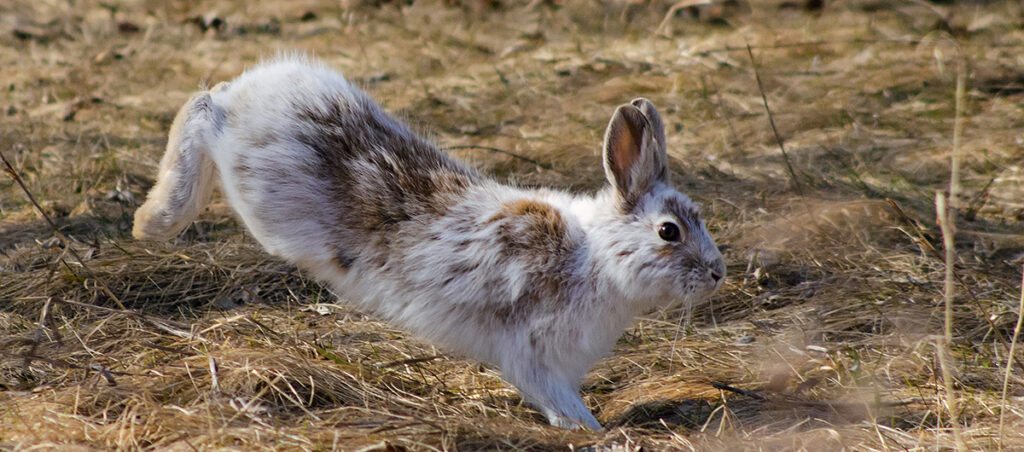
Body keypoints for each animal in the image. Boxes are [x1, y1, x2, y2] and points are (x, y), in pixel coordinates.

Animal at [133, 56, 726, 430]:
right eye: (669, 231)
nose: (718, 273)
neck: (597, 256)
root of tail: (259, 87)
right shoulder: (533, 353)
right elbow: (558, 400)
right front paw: (589, 429)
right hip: (260, 196)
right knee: (202, 107)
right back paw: (153, 219)